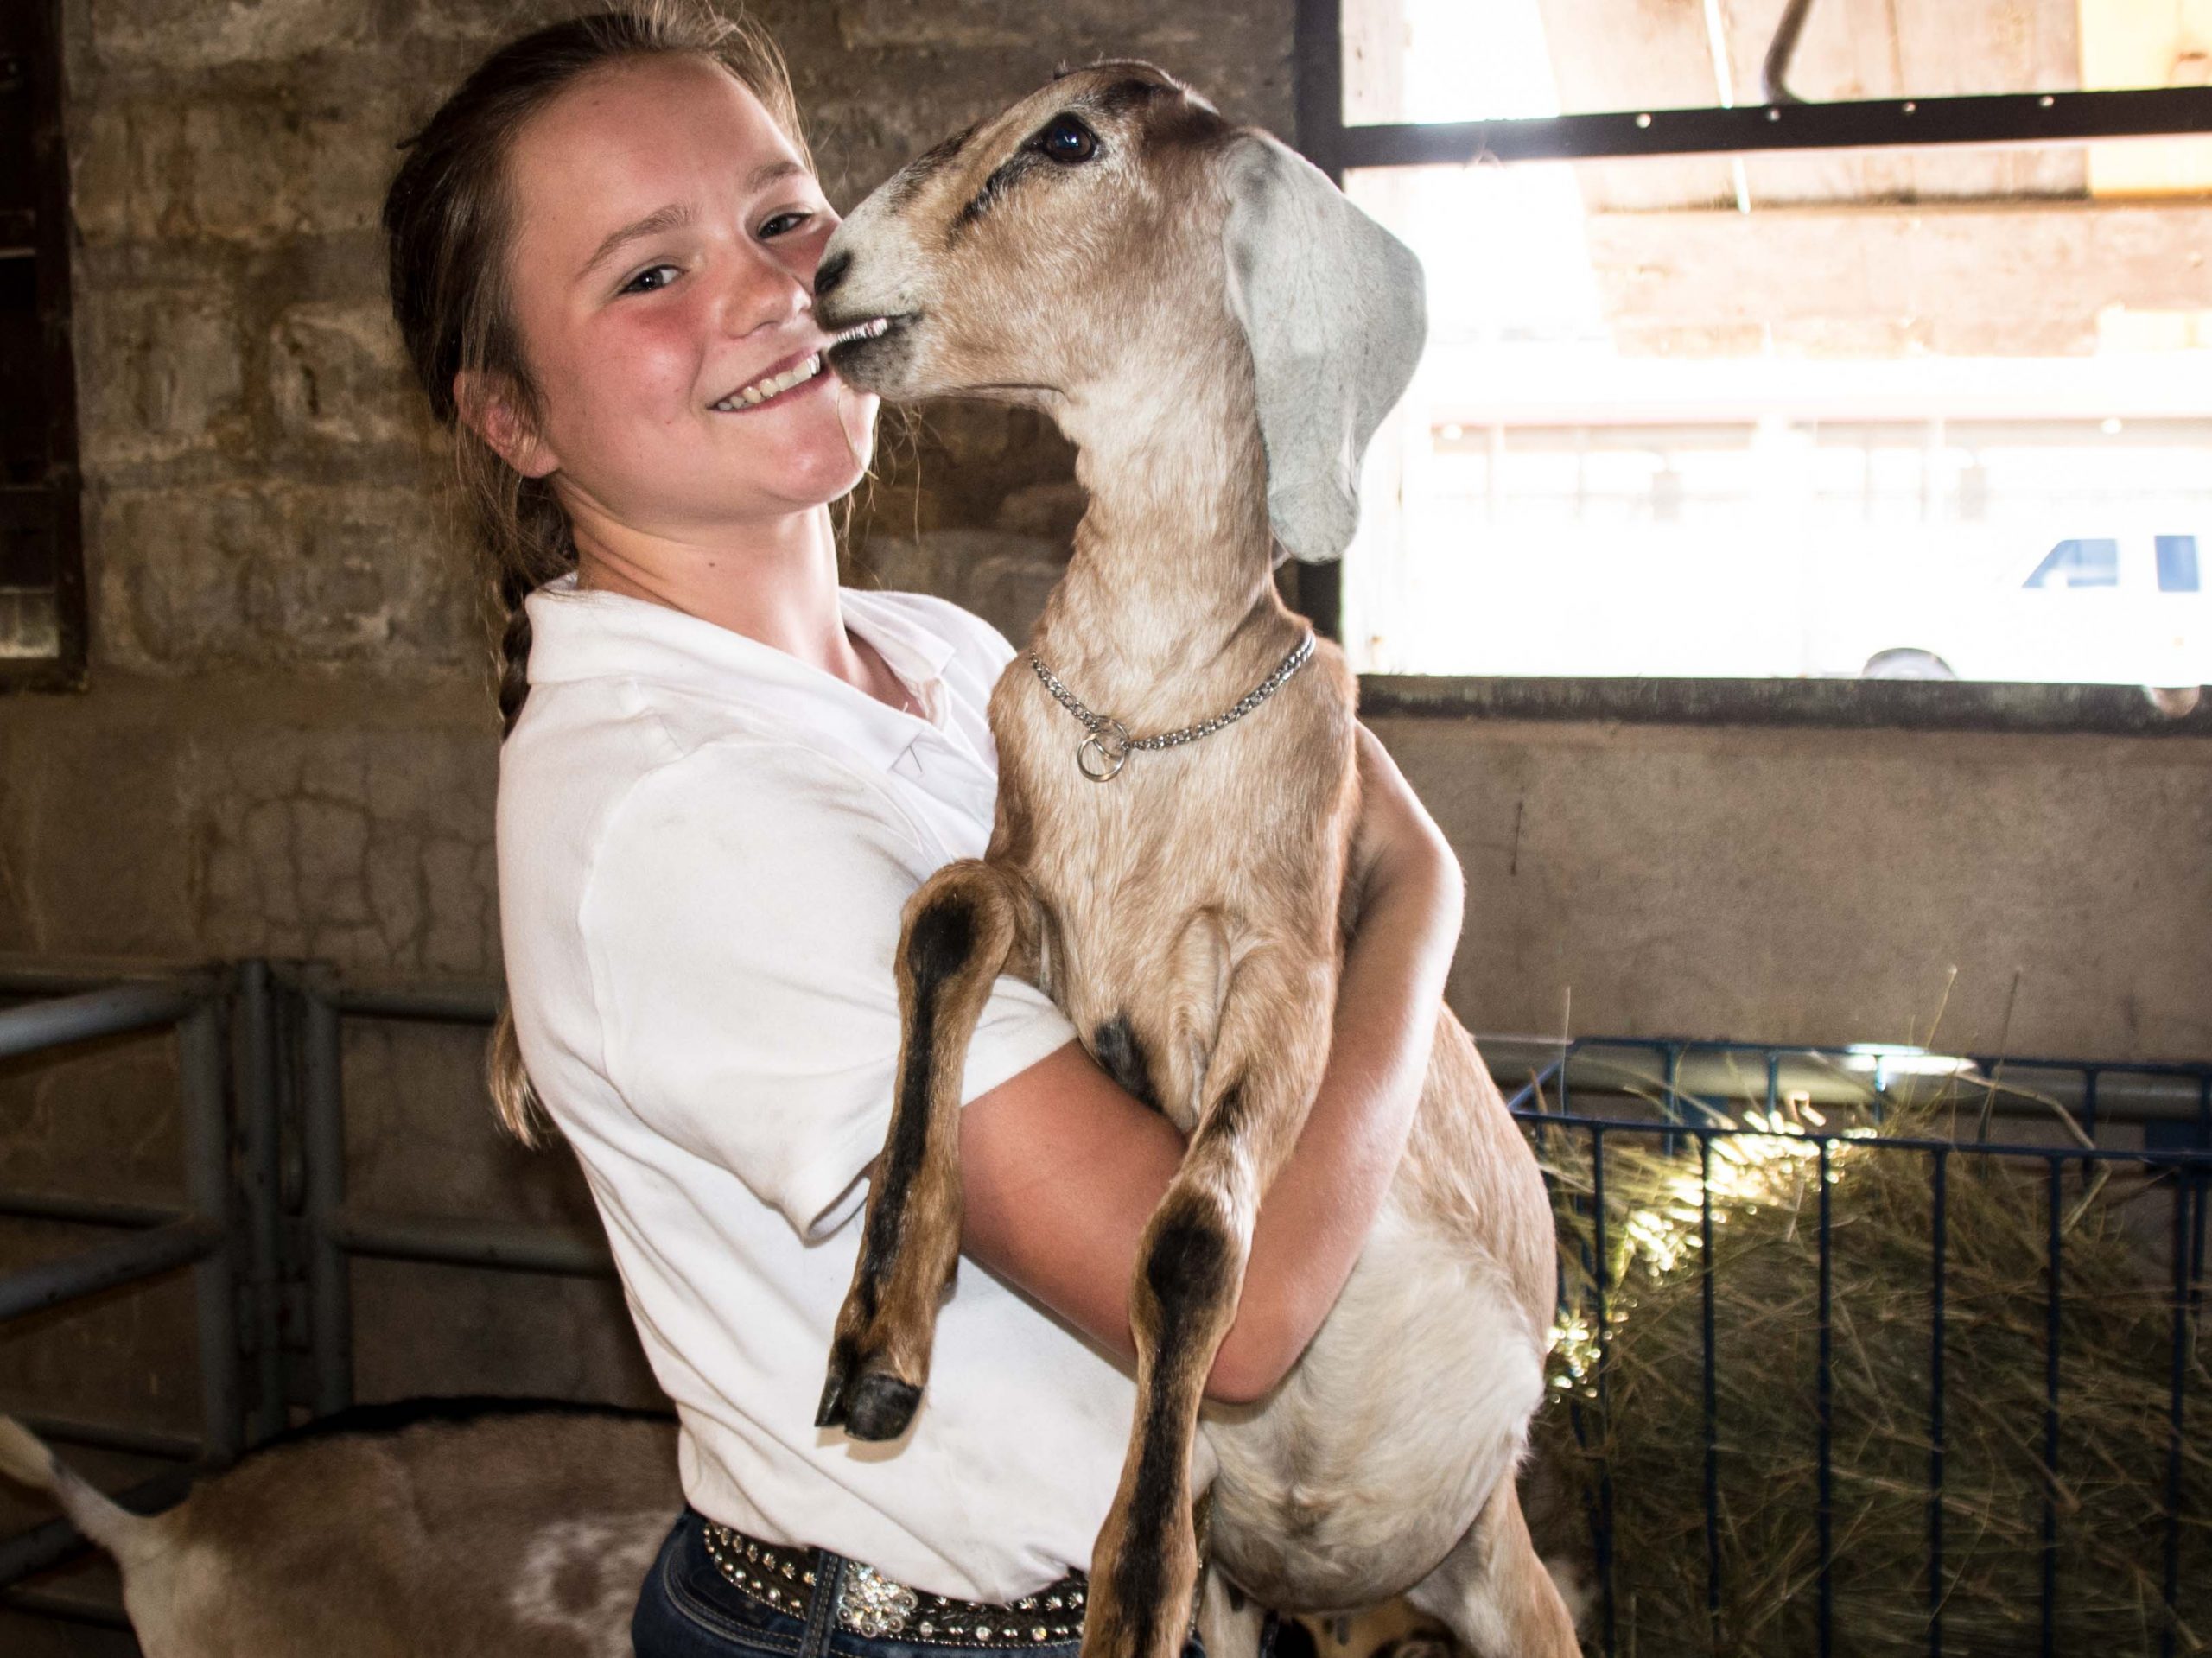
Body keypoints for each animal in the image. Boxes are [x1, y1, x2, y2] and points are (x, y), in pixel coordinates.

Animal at [804, 58, 1583, 1658]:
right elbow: (942, 916)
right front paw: (878, 1338)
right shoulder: (1051, 915)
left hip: (1507, 1577)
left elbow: (1192, 1246)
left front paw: (1131, 1579)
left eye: (1069, 135)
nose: (827, 268)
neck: (1155, 711)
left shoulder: (1279, 980)